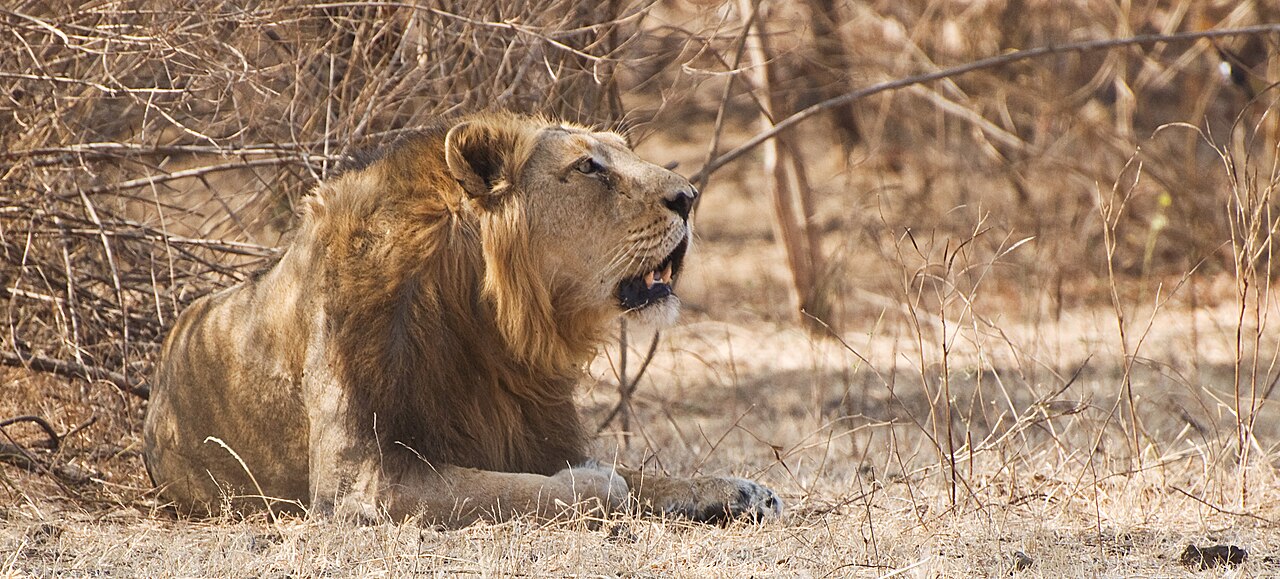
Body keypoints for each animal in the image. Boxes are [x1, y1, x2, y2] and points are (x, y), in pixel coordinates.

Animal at [142, 112, 782, 526]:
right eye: (589, 167)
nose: (690, 197)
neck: (490, 324)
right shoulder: (363, 482)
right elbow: (519, 492)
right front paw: (597, 482)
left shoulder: (532, 431)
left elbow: (645, 473)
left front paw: (737, 490)